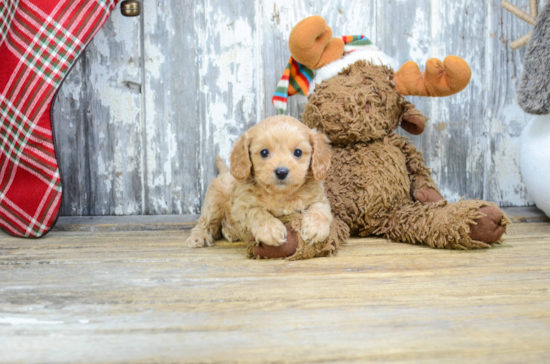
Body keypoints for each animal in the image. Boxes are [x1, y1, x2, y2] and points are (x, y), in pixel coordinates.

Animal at [185, 115, 332, 249]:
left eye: (298, 152)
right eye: (264, 152)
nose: (281, 172)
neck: (281, 195)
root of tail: (224, 172)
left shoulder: (320, 198)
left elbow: (320, 208)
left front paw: (316, 228)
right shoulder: (240, 207)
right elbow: (257, 212)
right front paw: (271, 230)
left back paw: (230, 232)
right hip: (214, 202)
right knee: (205, 223)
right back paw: (199, 237)